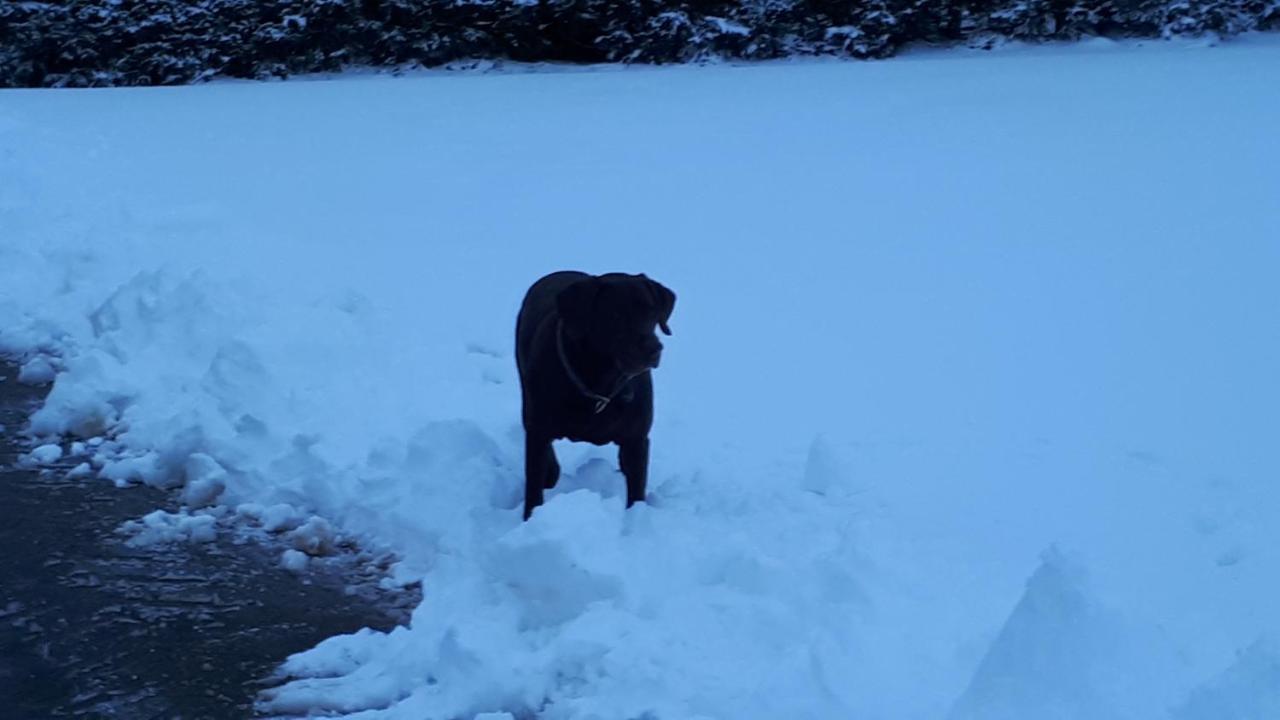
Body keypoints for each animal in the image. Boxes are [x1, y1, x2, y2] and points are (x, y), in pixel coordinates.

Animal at [512, 269, 675, 515]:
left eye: (652, 312)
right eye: (616, 314)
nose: (654, 349)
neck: (600, 382)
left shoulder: (637, 438)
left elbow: (636, 490)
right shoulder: (538, 430)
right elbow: (533, 487)